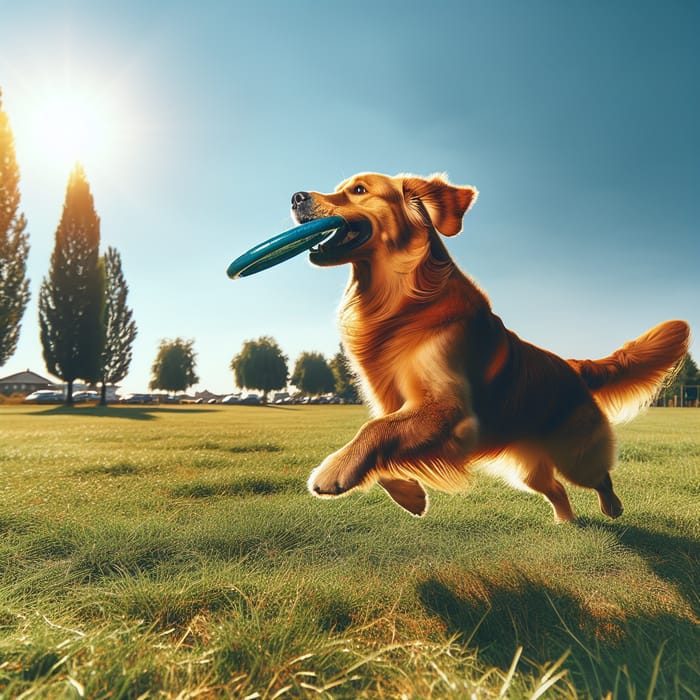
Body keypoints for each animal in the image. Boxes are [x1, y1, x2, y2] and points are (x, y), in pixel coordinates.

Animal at [288, 172, 688, 520]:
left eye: (358, 190)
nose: (295, 197)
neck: (405, 303)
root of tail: (572, 366)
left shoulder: (449, 409)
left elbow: (375, 430)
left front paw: (333, 472)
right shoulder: (396, 406)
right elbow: (381, 437)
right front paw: (409, 494)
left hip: (577, 456)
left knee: (598, 477)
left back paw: (612, 508)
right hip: (529, 469)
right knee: (556, 489)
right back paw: (566, 522)